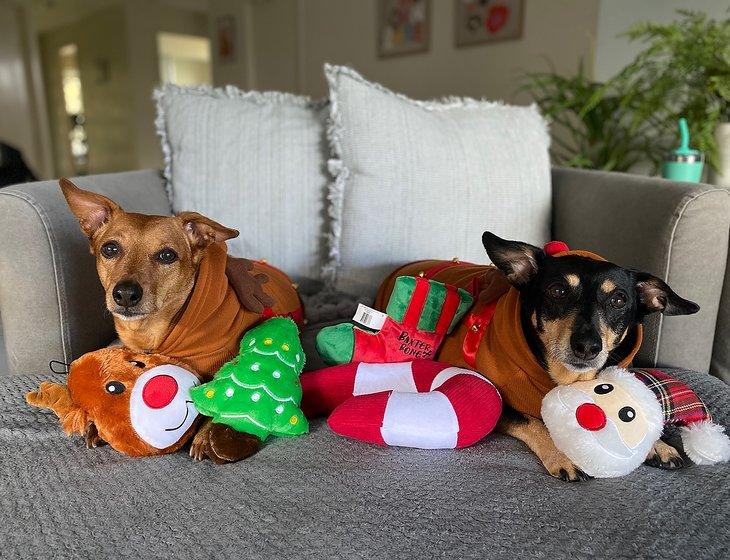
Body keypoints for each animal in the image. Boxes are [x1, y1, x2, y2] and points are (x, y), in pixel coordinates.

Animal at [372, 232, 696, 482]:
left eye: (619, 300)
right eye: (558, 291)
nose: (587, 346)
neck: (562, 377)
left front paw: (657, 445)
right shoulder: (500, 404)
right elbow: (535, 422)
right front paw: (563, 454)